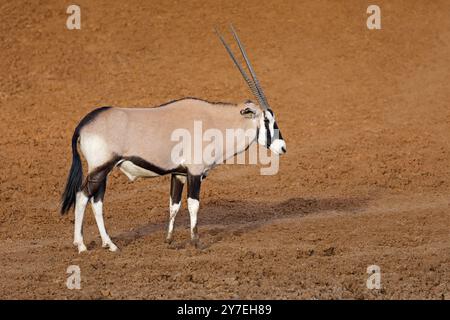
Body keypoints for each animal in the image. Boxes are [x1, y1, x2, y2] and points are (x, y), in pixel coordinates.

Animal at [60, 25, 284, 252]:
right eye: (267, 120)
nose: (282, 147)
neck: (213, 121)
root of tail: (83, 124)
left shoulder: (178, 174)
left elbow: (173, 205)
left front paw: (169, 240)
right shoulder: (194, 173)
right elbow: (193, 205)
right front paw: (196, 242)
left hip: (103, 171)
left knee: (97, 202)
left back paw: (110, 244)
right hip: (100, 169)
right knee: (82, 196)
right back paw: (81, 245)